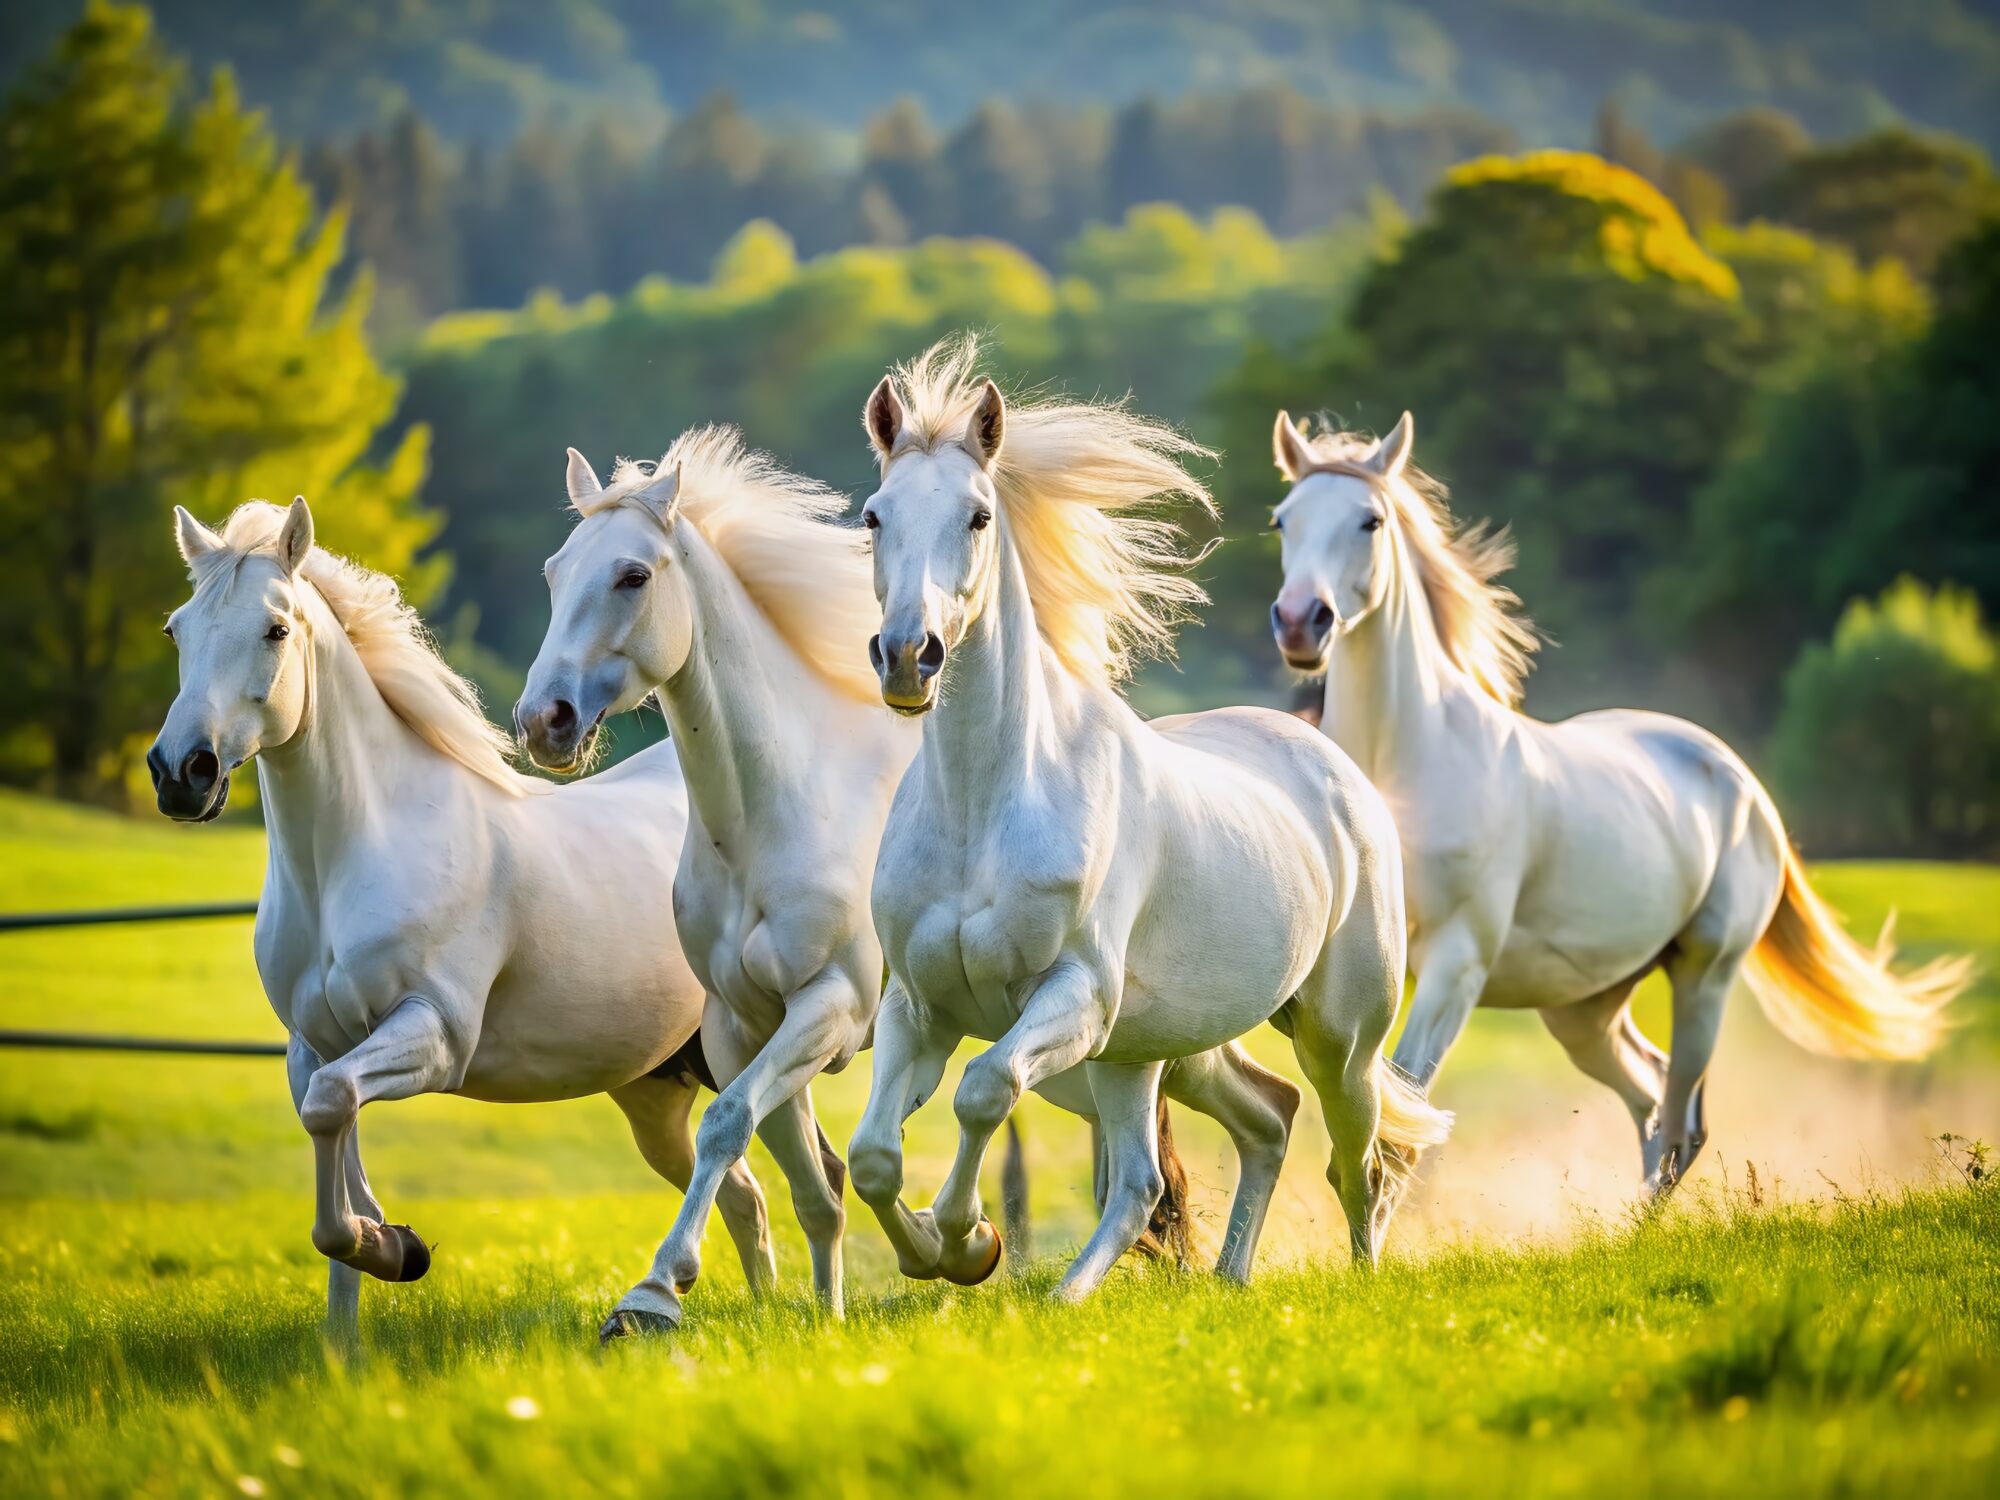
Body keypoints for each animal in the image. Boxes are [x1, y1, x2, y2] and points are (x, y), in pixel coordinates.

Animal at [146, 497, 776, 1337]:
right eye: (177, 628)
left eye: (276, 629)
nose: (182, 773)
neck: (359, 852)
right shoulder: (313, 1046)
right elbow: (331, 1138)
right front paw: (357, 1310)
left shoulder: (436, 1035)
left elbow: (335, 1109)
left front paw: (392, 1248)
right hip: (654, 1091)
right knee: (747, 1195)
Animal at [519, 426, 1303, 1333]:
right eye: (554, 571)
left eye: (633, 576)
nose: (544, 721)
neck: (777, 810)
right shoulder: (741, 1024)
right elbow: (806, 1180)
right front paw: (821, 1309)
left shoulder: (830, 1007)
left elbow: (733, 1123)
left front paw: (655, 1293)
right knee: (1249, 1114)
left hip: (1134, 1034)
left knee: (1253, 1109)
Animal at [850, 337, 1451, 1301]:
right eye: (874, 515)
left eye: (979, 516)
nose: (909, 656)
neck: (987, 809)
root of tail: (1336, 771)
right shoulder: (919, 1006)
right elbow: (871, 1154)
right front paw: (941, 1251)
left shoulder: (1074, 998)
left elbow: (983, 1088)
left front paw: (965, 1236)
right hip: (1151, 1052)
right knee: (1218, 1143)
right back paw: (1188, 1284)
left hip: (1336, 1036)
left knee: (1354, 1160)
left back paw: (1357, 1280)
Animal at [1265, 410, 1969, 1193]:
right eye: (1283, 520)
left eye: (1371, 520)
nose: (1300, 621)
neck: (1410, 767)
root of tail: (1742, 783)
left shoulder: (1456, 966)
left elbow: (1399, 1138)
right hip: (1585, 1011)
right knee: (1652, 1097)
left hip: (1703, 980)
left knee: (1679, 1117)